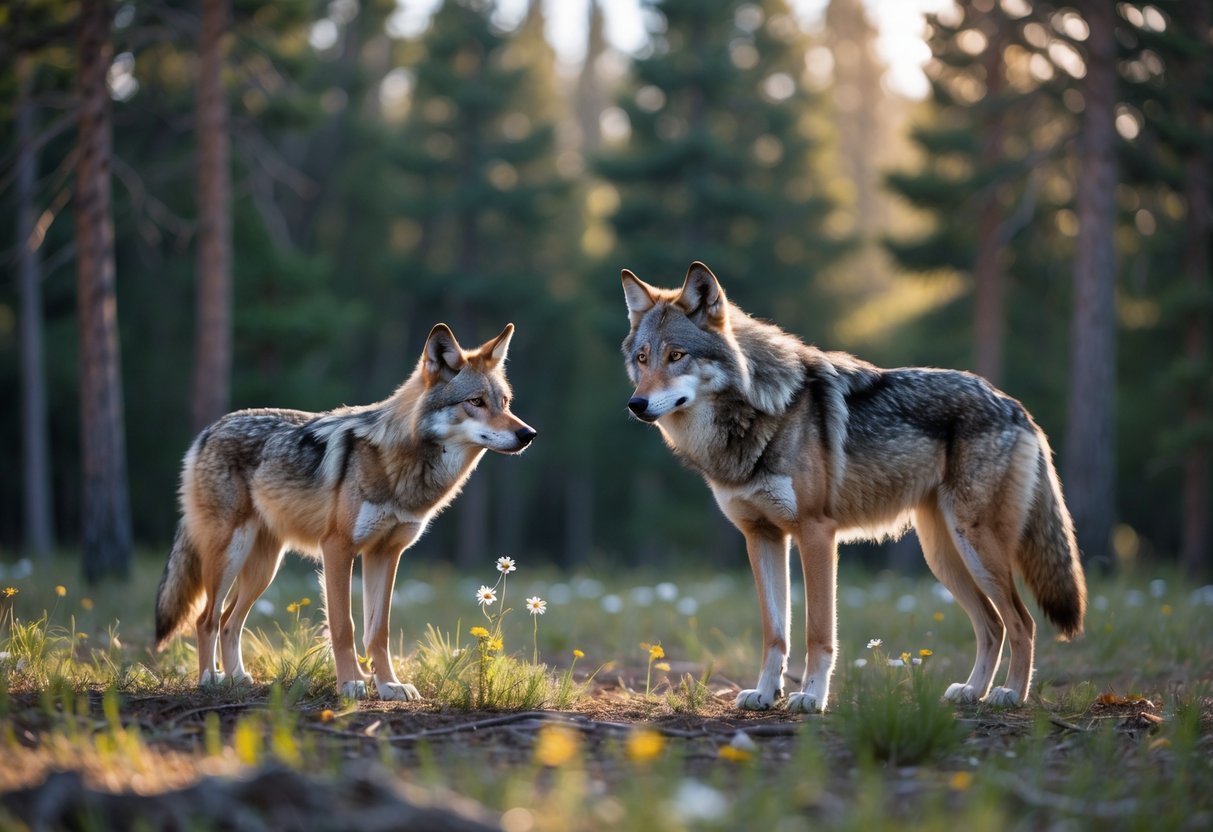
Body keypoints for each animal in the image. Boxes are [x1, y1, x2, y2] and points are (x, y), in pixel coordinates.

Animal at [154, 323, 536, 700]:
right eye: (476, 402)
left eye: (504, 403)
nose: (528, 433)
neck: (401, 465)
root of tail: (209, 430)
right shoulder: (337, 548)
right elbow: (344, 626)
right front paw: (351, 684)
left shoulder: (386, 553)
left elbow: (378, 631)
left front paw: (388, 685)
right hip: (231, 555)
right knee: (207, 619)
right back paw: (209, 679)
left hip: (264, 568)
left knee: (229, 621)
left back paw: (237, 679)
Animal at [620, 262, 1086, 712]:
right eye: (643, 358)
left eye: (677, 355)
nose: (636, 404)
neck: (757, 414)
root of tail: (1014, 406)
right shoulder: (761, 536)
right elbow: (775, 634)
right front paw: (766, 695)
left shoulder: (816, 534)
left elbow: (818, 632)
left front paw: (811, 698)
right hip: (943, 557)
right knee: (993, 625)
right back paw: (973, 692)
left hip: (975, 547)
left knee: (1022, 622)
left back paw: (1011, 695)